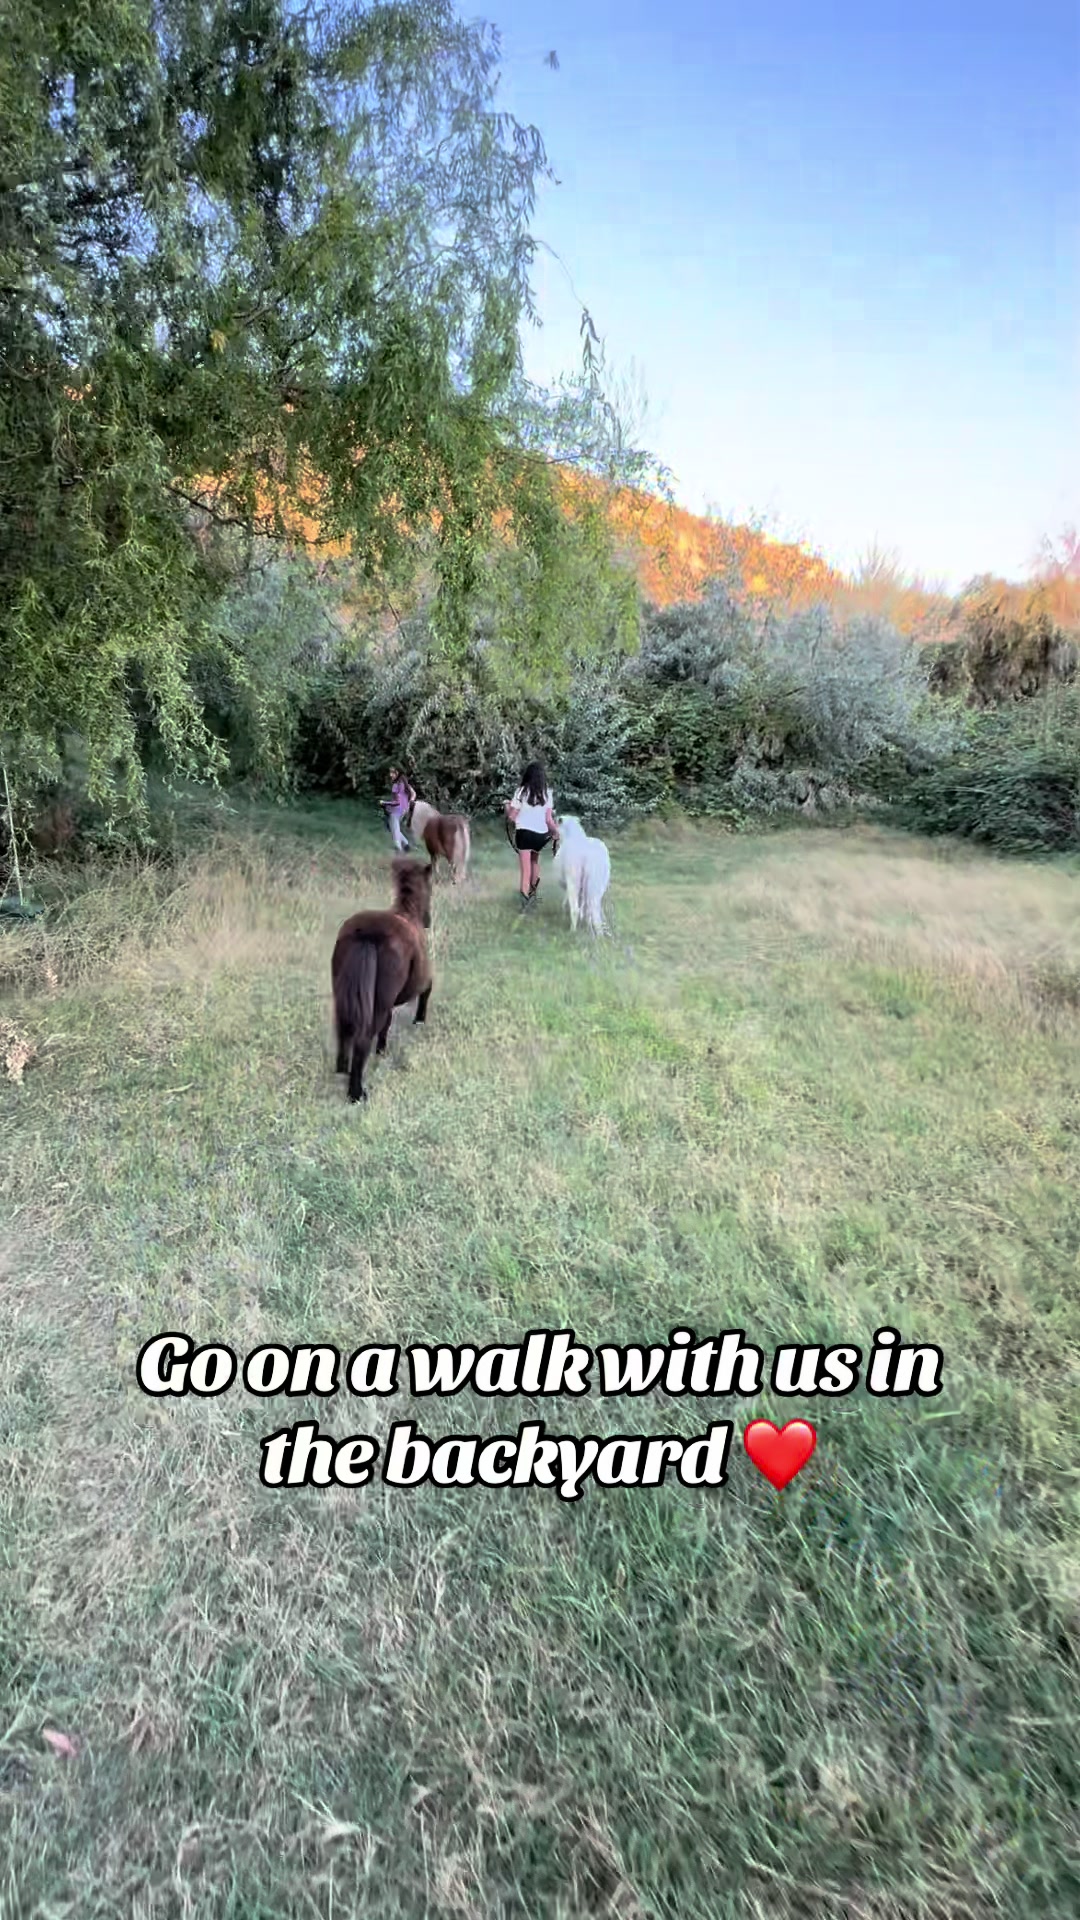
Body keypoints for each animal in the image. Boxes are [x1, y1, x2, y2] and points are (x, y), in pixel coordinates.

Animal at [331, 857, 433, 1104]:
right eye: (431, 888)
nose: (428, 921)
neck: (408, 912)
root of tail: (366, 933)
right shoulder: (422, 978)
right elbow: (427, 990)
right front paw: (419, 1020)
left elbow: (387, 1024)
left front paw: (382, 1050)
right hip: (377, 1004)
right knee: (361, 1040)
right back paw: (356, 1093)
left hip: (344, 996)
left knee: (343, 1030)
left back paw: (342, 1070)